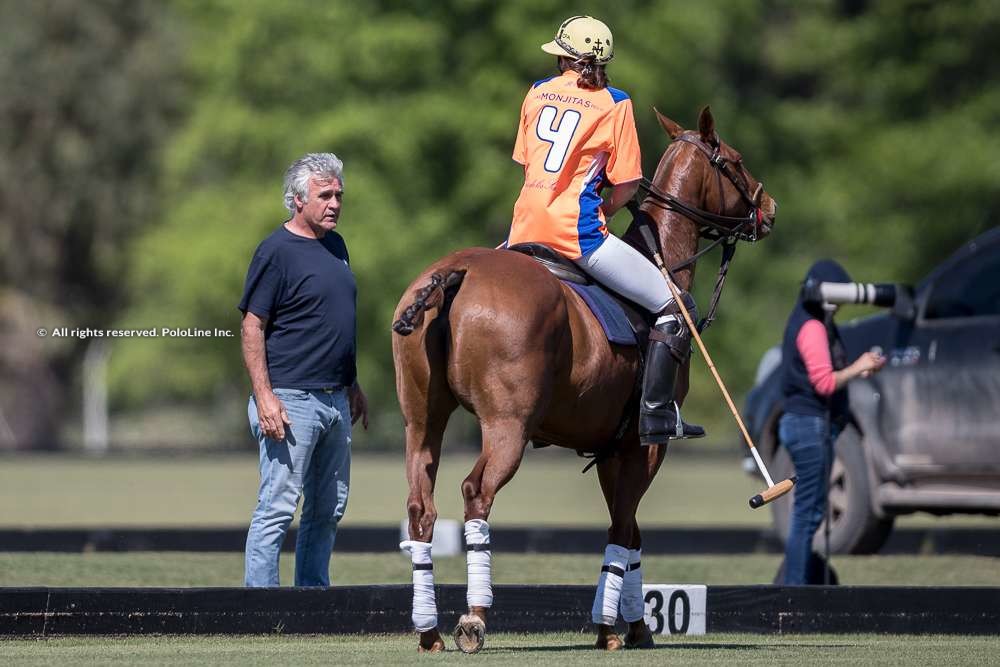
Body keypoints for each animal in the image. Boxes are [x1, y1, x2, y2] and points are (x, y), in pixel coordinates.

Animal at [390, 108, 772, 652]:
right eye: (735, 161)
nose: (770, 209)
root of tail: (455, 274)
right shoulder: (644, 444)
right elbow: (624, 530)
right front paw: (617, 628)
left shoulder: (611, 447)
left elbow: (630, 531)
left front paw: (628, 625)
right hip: (508, 424)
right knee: (476, 492)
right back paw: (474, 618)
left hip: (422, 418)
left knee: (420, 505)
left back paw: (428, 631)